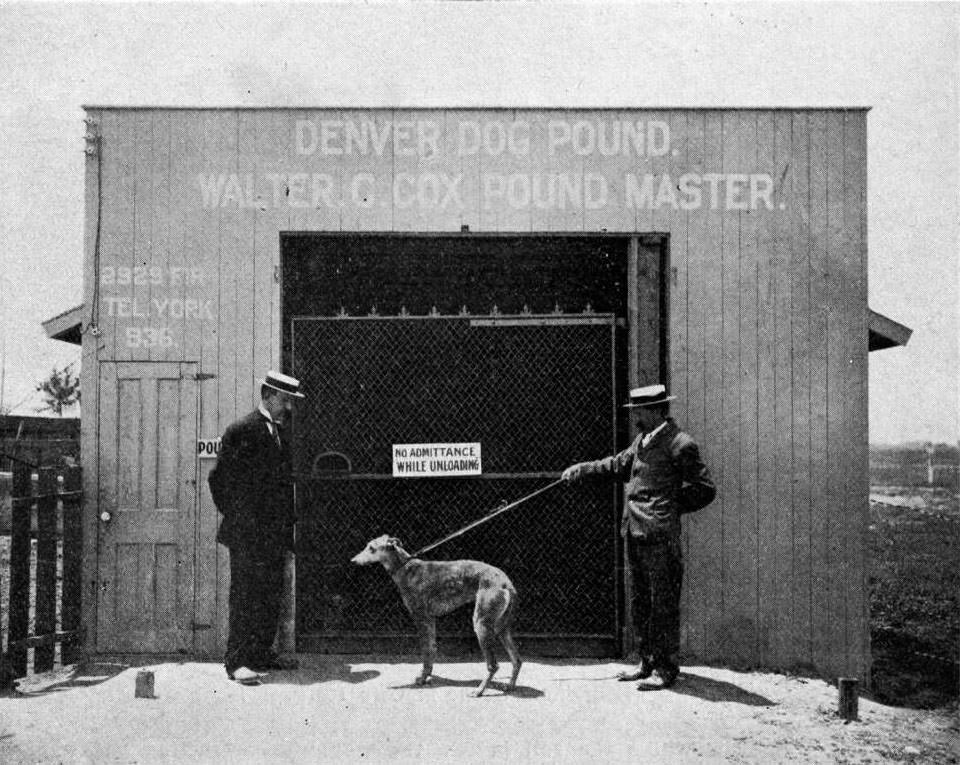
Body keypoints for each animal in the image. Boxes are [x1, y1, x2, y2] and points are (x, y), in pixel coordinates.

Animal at [350, 536, 520, 696]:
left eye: (371, 548)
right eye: (367, 546)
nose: (353, 561)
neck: (406, 568)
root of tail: (506, 583)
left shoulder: (421, 618)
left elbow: (426, 652)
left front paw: (423, 679)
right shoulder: (430, 620)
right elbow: (432, 649)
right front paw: (426, 676)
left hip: (481, 625)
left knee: (493, 665)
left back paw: (479, 691)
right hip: (501, 628)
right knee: (517, 660)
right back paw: (509, 686)